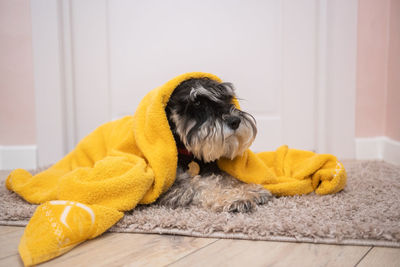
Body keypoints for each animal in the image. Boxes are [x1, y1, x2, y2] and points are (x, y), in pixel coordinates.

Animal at [156, 78, 272, 214]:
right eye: (197, 103)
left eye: (226, 98)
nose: (235, 121)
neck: (190, 156)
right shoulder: (174, 187)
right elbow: (203, 185)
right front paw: (236, 198)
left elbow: (224, 178)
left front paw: (249, 188)